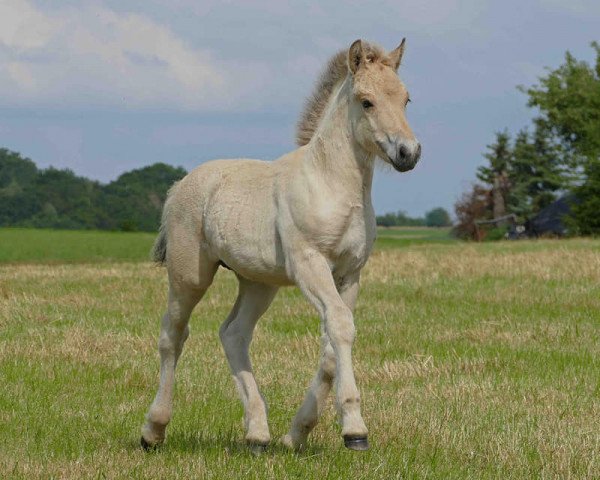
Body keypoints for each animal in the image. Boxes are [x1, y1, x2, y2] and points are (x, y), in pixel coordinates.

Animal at [142, 39, 422, 452]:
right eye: (367, 101)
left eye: (405, 99)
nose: (408, 153)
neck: (331, 183)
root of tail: (180, 185)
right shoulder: (309, 263)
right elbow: (340, 325)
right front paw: (355, 429)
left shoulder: (350, 273)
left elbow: (332, 341)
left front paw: (297, 433)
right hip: (188, 276)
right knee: (173, 335)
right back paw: (154, 430)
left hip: (258, 283)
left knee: (234, 333)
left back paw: (258, 434)